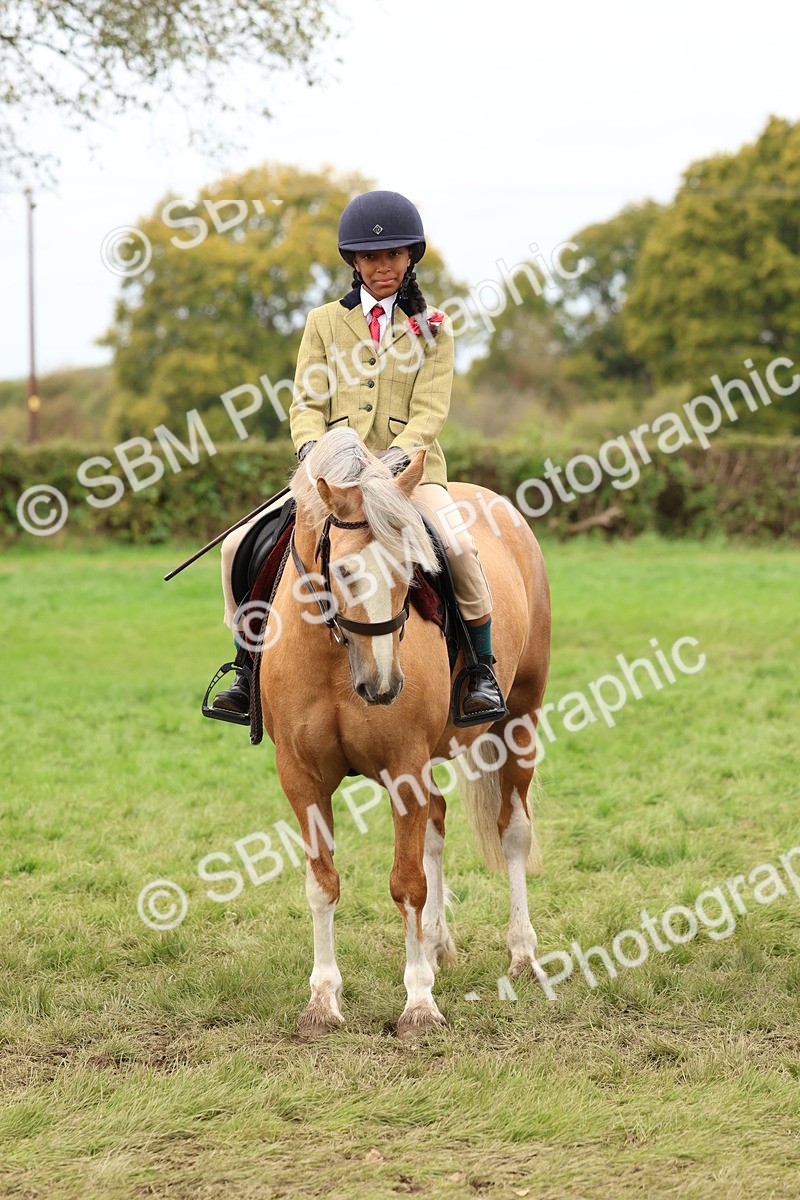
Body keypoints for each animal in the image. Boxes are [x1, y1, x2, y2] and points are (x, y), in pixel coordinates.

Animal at [258, 428, 551, 1037]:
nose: (384, 684)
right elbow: (322, 882)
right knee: (436, 826)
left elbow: (408, 884)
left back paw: (523, 955)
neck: (336, 658)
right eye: (345, 572)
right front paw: (322, 1000)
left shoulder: (404, 768)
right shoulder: (300, 777)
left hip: (521, 721)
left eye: (410, 568)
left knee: (513, 831)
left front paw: (418, 1003)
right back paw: (437, 946)